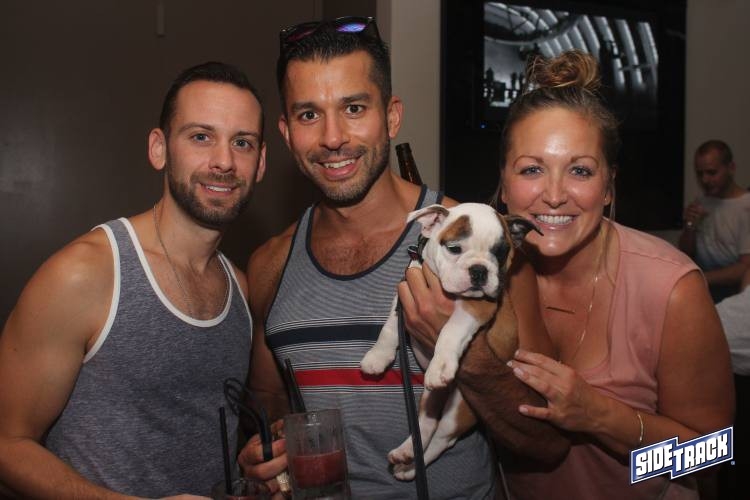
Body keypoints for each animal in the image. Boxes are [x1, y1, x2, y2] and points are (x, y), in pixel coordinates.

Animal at [360, 202, 540, 480]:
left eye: (500, 253)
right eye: (454, 248)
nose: (479, 270)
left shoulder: (477, 307)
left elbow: (451, 330)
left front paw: (441, 364)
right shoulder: (405, 291)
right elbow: (390, 326)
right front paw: (377, 357)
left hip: (459, 409)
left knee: (442, 439)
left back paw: (410, 465)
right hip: (430, 398)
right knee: (426, 423)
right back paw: (406, 455)